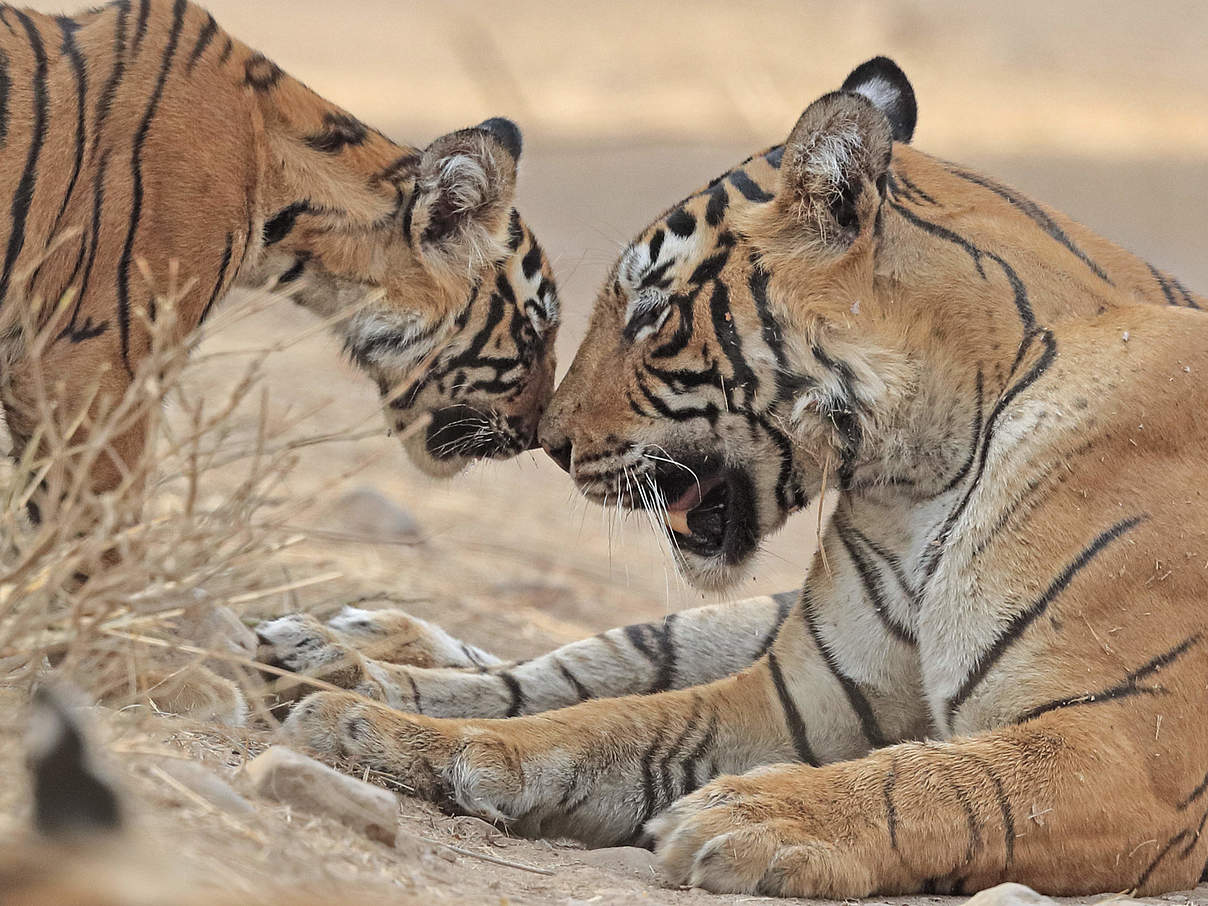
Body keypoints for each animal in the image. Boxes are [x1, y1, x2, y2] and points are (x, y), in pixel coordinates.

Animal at [280, 60, 1208, 898]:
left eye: (650, 312)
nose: (549, 441)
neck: (922, 471)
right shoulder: (802, 698)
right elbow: (604, 722)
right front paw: (382, 732)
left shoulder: (1135, 747)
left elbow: (938, 781)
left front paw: (760, 817)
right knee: (583, 664)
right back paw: (333, 658)